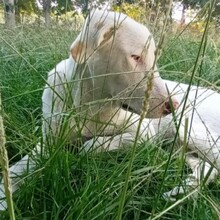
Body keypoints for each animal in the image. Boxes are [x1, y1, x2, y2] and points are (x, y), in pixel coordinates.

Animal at [0, 9, 220, 211]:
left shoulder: (144, 133)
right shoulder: (49, 142)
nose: (173, 105)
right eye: (136, 57)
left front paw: (84, 148)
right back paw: (179, 194)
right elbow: (16, 170)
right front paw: (5, 198)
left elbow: (91, 145)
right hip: (177, 147)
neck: (89, 107)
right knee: (205, 168)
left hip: (187, 129)